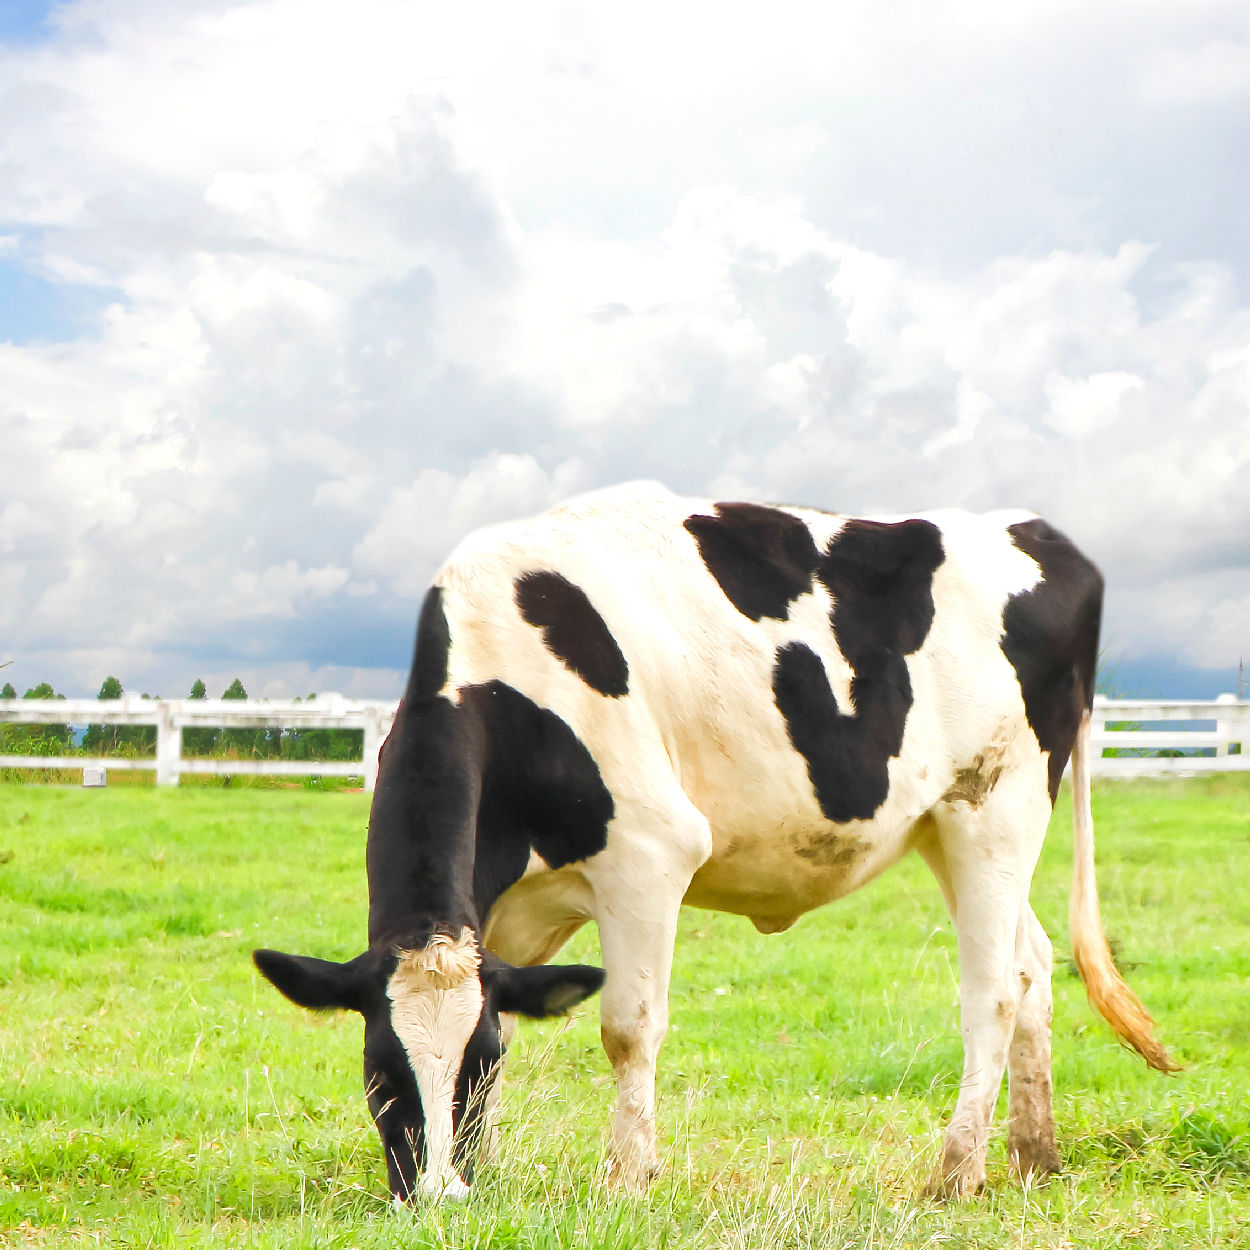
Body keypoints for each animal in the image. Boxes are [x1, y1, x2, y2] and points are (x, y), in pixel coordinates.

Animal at [251, 482, 1170, 1205]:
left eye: (468, 1066)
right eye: (379, 1072)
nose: (436, 1195)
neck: (504, 672)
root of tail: (1037, 531)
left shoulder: (649, 858)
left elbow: (627, 1026)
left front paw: (626, 1178)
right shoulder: (502, 914)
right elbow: (513, 1009)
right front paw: (492, 1169)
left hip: (996, 807)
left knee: (992, 991)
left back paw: (957, 1171)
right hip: (945, 827)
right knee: (1033, 962)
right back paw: (1034, 1156)